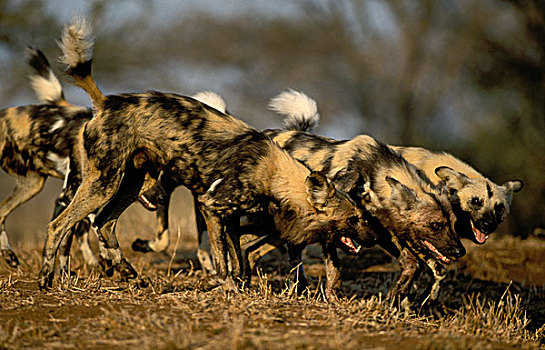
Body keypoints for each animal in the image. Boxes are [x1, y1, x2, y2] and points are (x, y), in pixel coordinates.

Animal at [37, 17, 370, 292]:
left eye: (361, 216)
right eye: (353, 218)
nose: (372, 238)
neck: (273, 173)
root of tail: (106, 102)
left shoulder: (230, 217)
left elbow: (238, 255)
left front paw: (240, 285)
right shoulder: (212, 206)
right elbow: (222, 257)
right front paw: (228, 286)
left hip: (134, 183)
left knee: (105, 223)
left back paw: (132, 275)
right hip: (103, 184)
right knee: (58, 225)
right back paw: (46, 279)